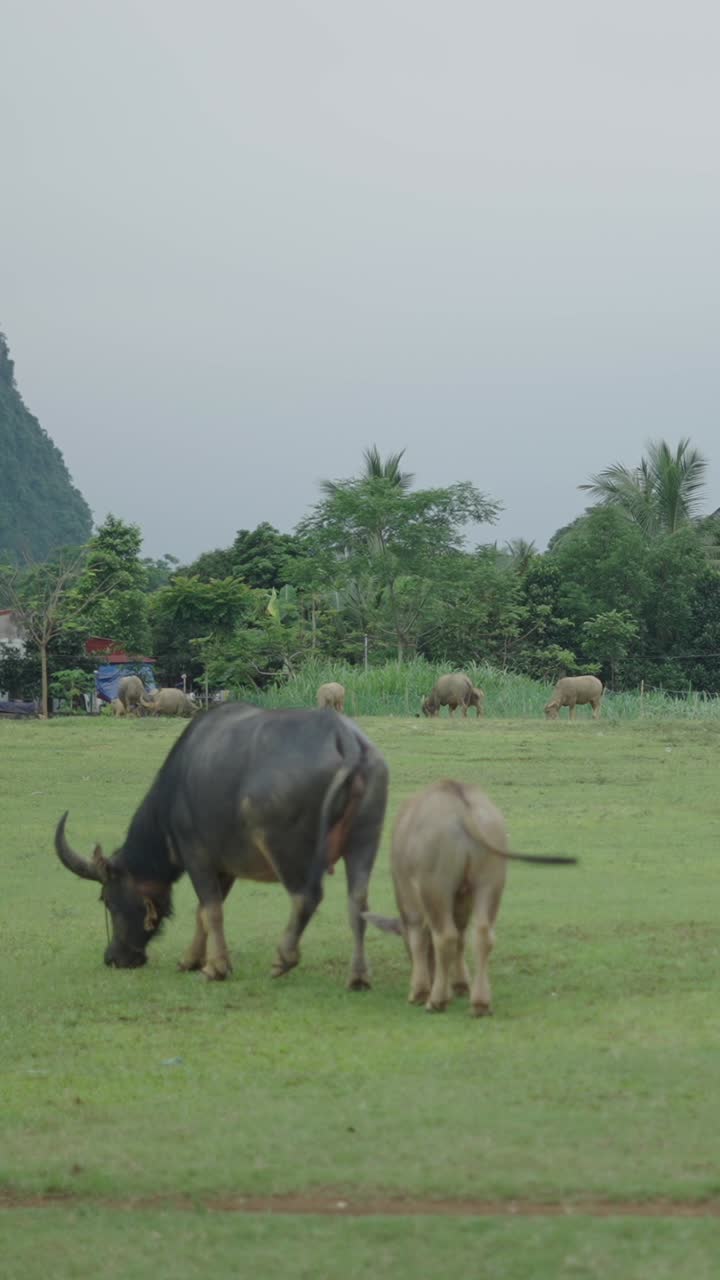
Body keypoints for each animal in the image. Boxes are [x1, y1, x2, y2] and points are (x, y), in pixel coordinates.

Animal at [54, 703, 388, 989]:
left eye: (108, 900)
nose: (113, 958)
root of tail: (344, 737)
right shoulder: (224, 867)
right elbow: (204, 910)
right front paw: (192, 959)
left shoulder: (196, 856)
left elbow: (211, 910)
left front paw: (214, 968)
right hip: (365, 839)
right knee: (358, 901)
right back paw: (359, 976)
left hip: (284, 848)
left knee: (306, 897)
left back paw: (283, 959)